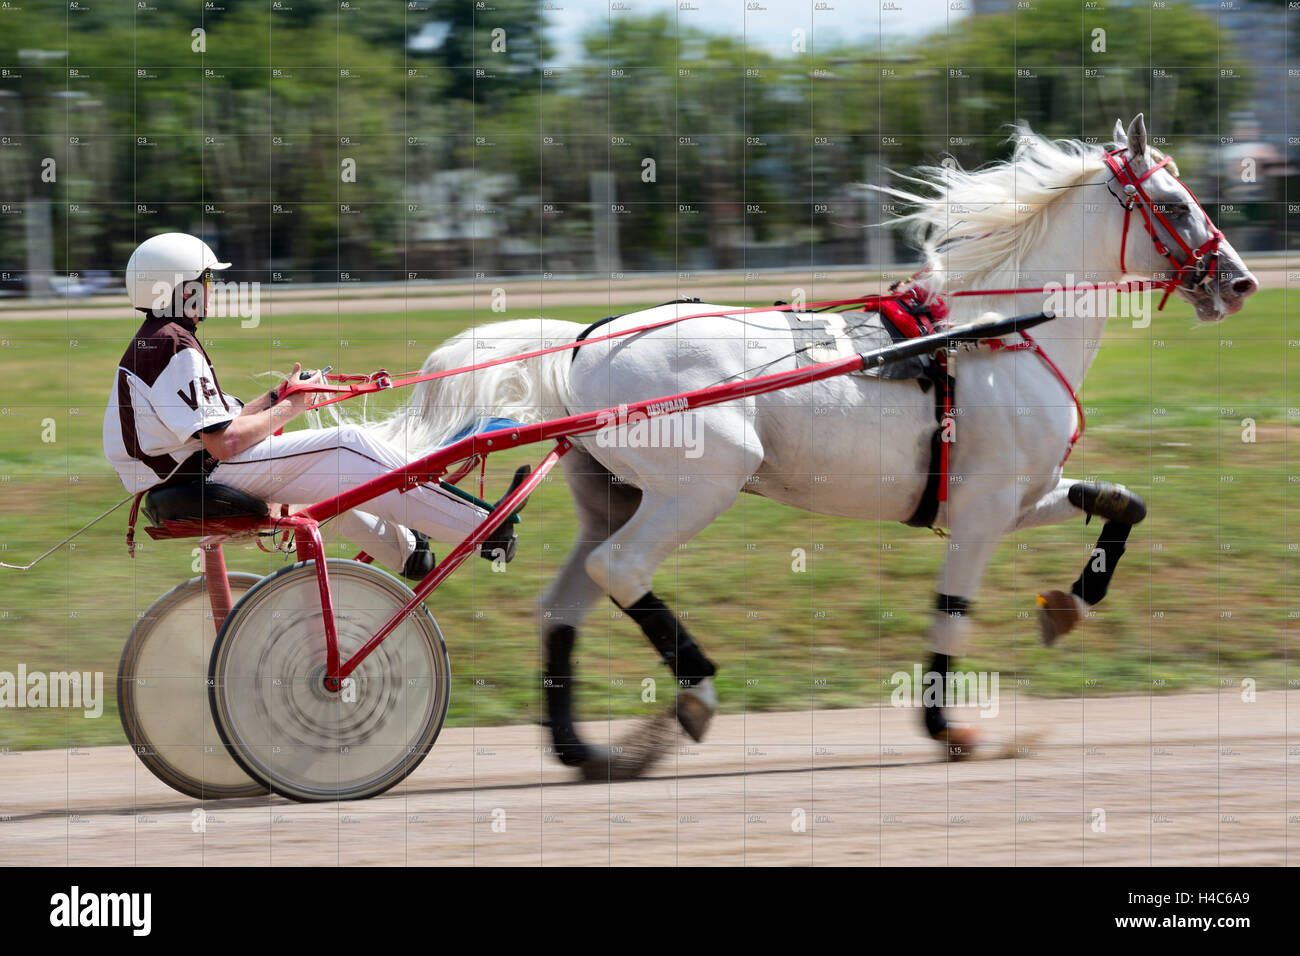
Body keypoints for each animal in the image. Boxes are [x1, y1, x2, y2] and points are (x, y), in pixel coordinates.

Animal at [369, 117, 1258, 780]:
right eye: (1176, 203)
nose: (1239, 281)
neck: (997, 333)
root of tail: (588, 338)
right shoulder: (981, 508)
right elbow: (952, 613)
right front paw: (948, 729)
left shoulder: (1020, 496)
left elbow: (1124, 505)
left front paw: (1071, 601)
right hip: (700, 485)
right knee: (622, 569)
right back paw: (694, 694)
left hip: (613, 495)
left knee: (565, 604)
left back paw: (587, 749)